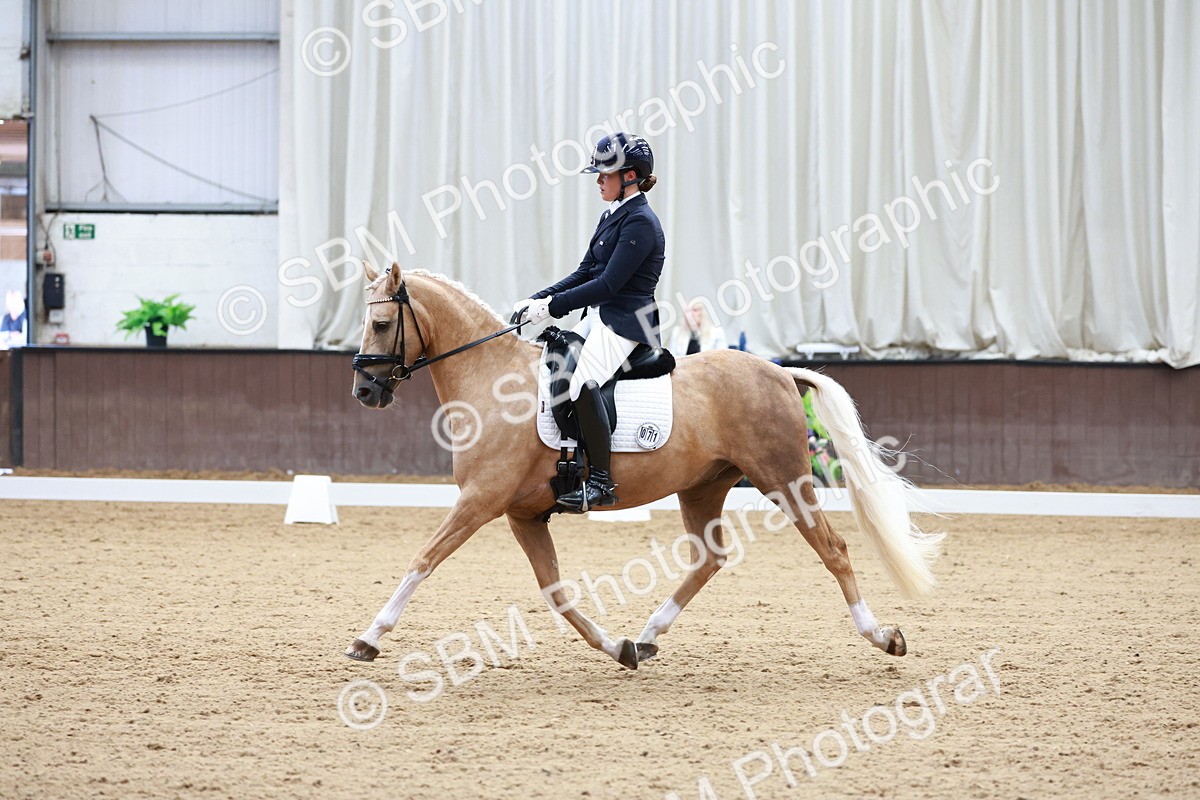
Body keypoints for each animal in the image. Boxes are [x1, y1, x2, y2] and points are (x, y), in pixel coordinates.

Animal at [346, 264, 943, 669]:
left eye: (382, 323)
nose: (364, 392)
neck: (492, 381)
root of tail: (778, 372)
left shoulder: (480, 500)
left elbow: (423, 559)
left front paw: (369, 637)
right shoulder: (522, 515)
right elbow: (557, 593)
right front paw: (618, 647)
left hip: (785, 479)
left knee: (833, 549)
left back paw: (883, 636)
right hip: (703, 487)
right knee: (710, 557)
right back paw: (649, 635)